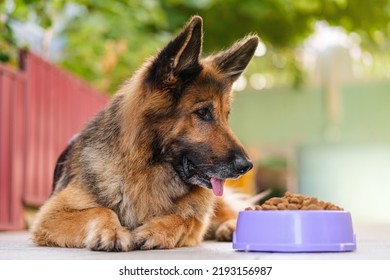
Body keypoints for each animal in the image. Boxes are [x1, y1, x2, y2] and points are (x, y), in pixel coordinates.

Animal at [29, 15, 256, 252]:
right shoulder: (51, 214)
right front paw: (112, 232)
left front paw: (155, 230)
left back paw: (231, 226)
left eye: (226, 115)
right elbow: (101, 209)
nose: (246, 166)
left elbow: (185, 218)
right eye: (203, 112)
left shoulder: (196, 219)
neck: (146, 170)